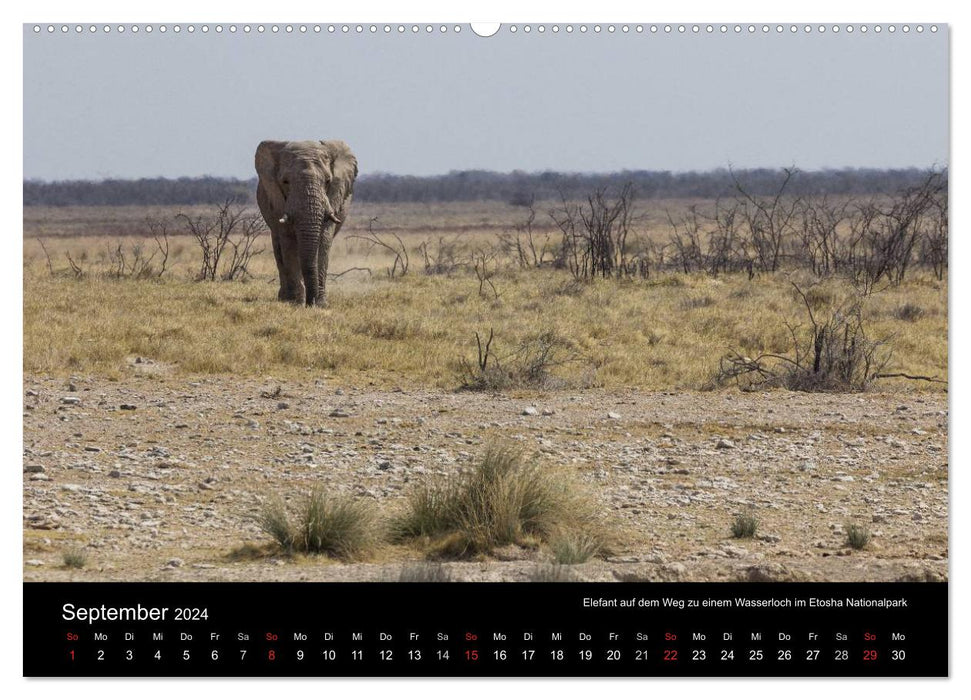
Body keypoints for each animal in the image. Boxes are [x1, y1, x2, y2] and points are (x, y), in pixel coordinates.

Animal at [256, 140, 358, 306]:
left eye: (328, 181)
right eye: (285, 182)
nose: (311, 303)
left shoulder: (331, 200)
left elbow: (323, 242)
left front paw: (321, 304)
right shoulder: (279, 202)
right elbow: (288, 243)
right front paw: (295, 302)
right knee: (278, 246)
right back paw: (285, 298)